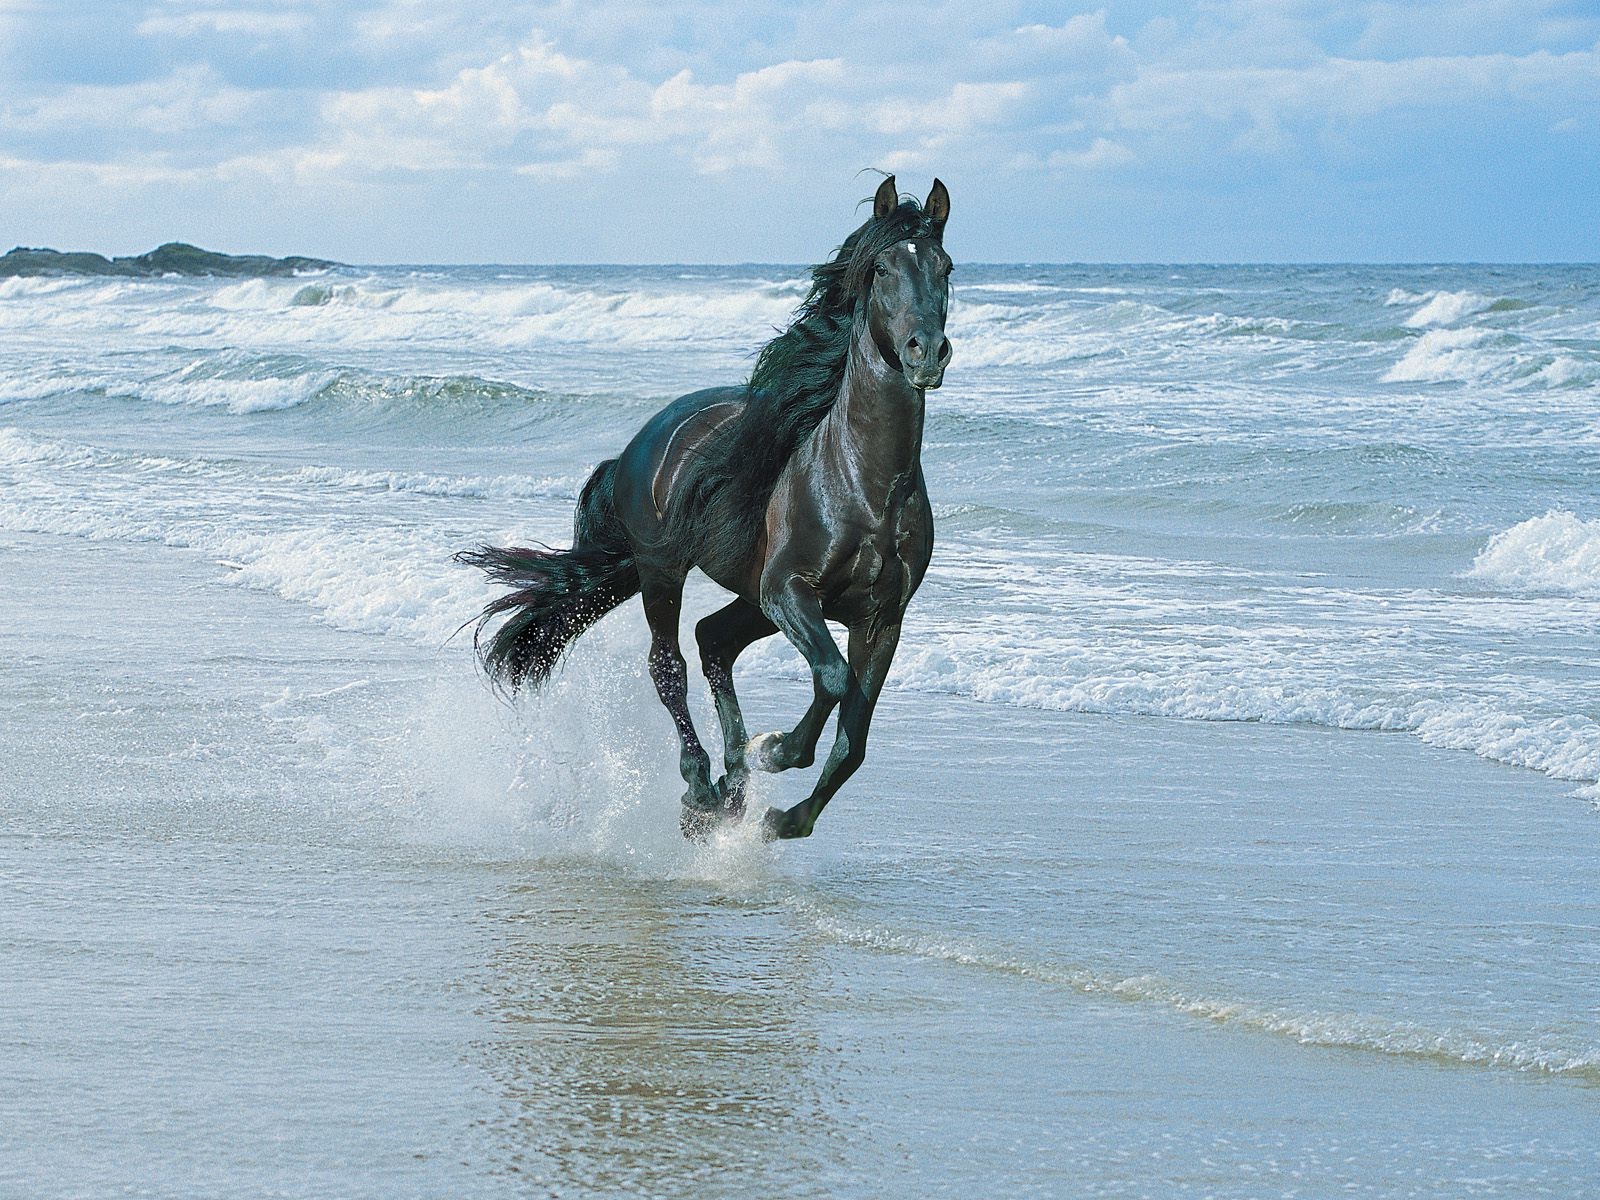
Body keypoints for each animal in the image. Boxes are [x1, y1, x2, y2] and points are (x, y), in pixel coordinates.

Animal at [457, 175, 952, 841]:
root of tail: (644, 440)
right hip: (665, 573)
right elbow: (831, 680)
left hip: (750, 597)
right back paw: (701, 789)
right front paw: (775, 750)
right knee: (669, 665)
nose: (927, 352)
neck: (863, 485)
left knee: (713, 640)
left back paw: (732, 785)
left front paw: (781, 817)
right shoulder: (790, 590)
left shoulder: (881, 619)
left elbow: (854, 741)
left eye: (945, 268)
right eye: (881, 269)